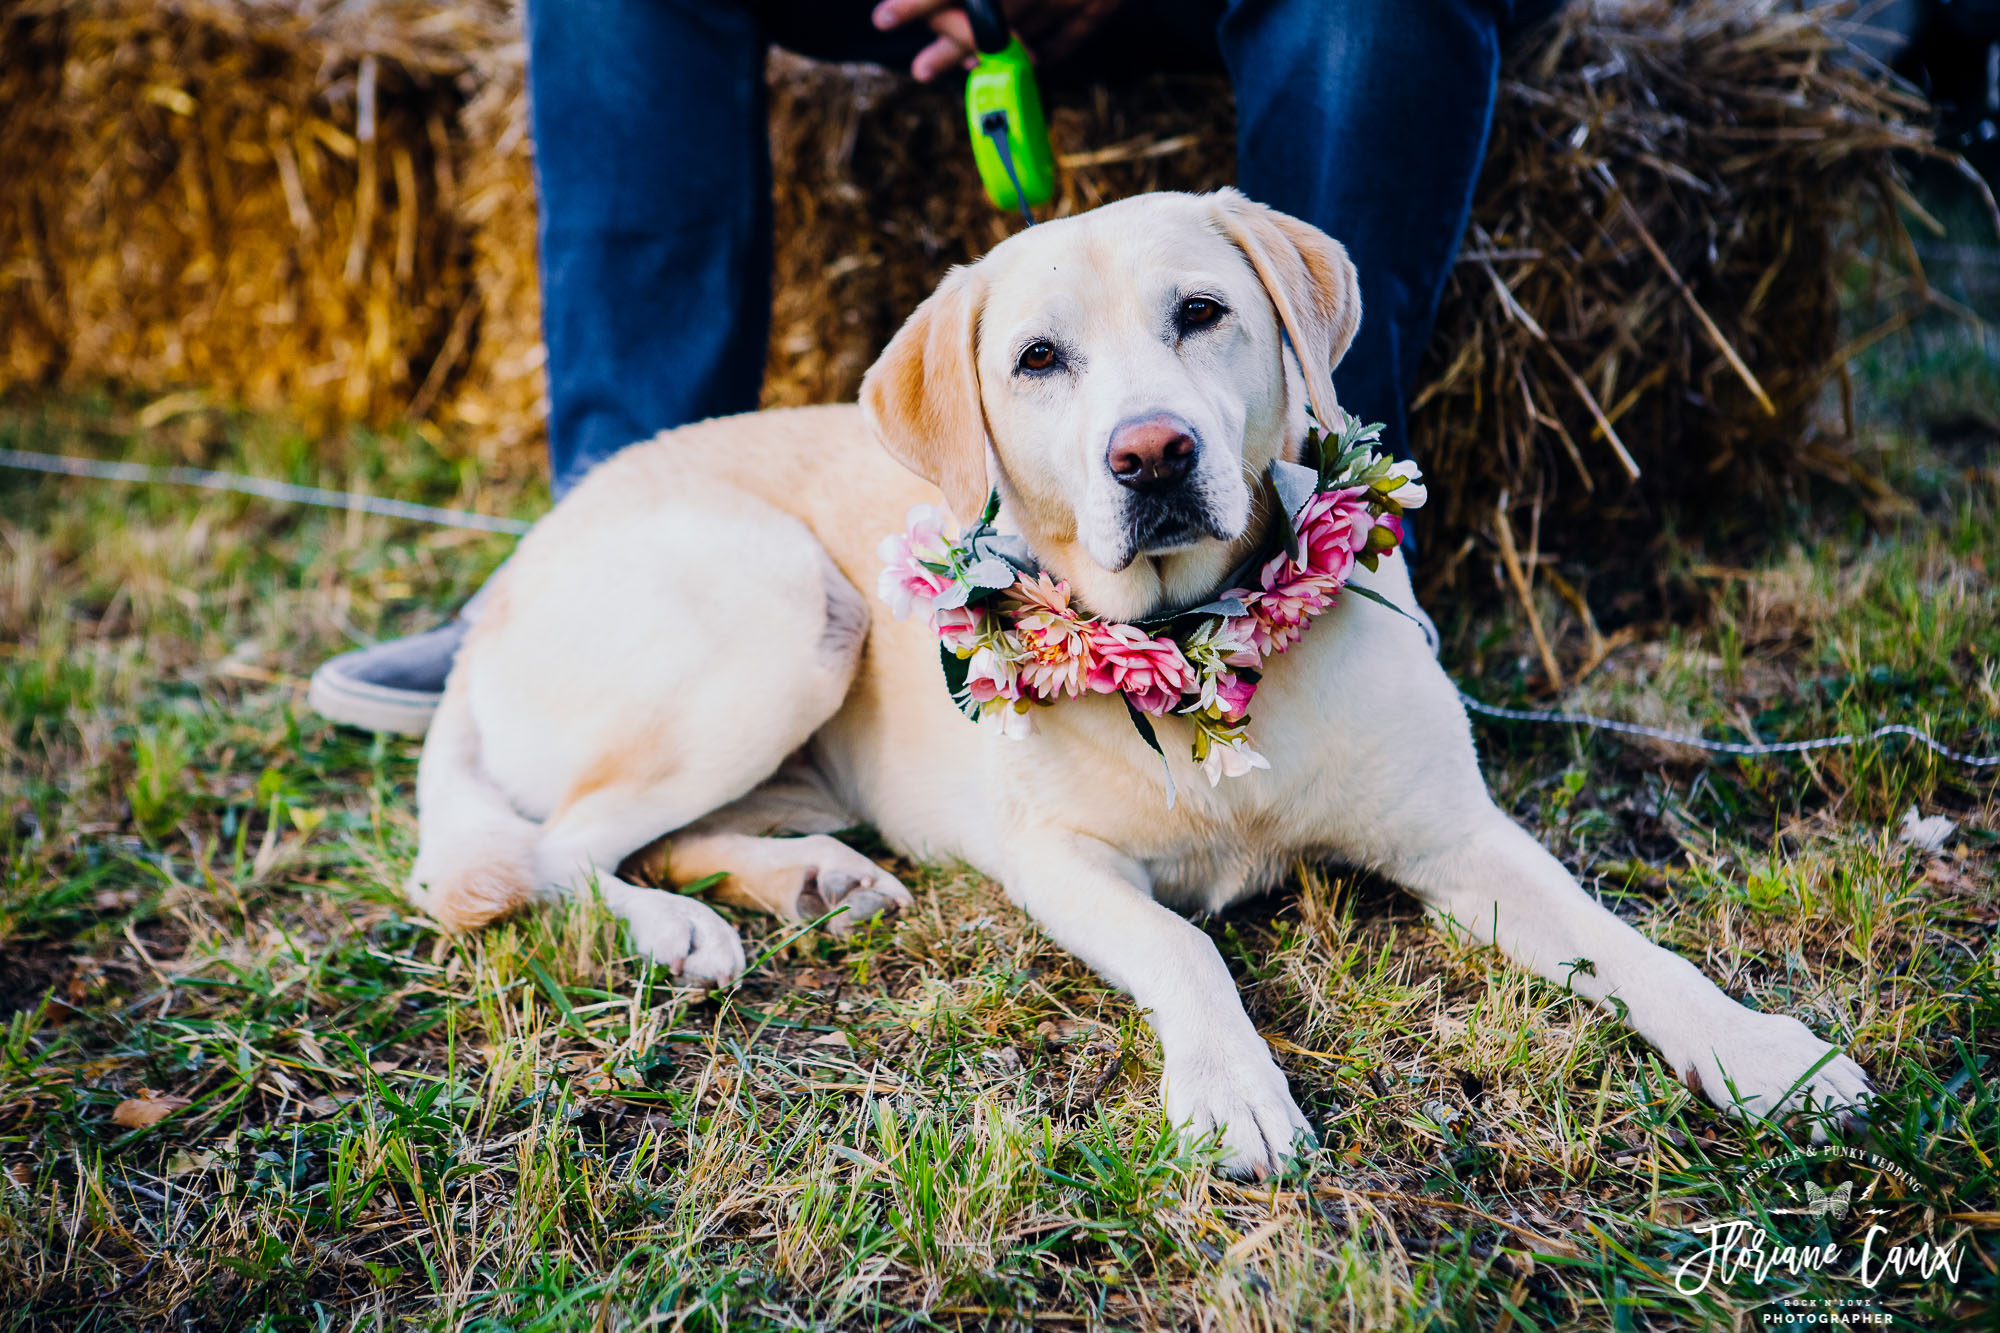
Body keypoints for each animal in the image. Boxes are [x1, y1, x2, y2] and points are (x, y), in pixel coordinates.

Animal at [410, 189, 1872, 1176]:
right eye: (1038, 360)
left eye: (1202, 315)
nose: (1152, 453)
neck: (1194, 652)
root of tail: (498, 591)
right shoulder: (1056, 862)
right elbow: (1185, 944)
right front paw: (1233, 1086)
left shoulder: (1461, 837)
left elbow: (1628, 945)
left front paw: (1760, 1054)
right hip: (783, 604)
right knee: (548, 849)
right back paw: (677, 933)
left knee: (655, 834)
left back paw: (805, 881)